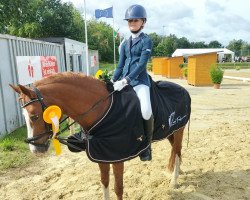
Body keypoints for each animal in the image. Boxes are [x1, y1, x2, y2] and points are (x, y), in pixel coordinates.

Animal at [11, 72, 188, 200]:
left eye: (34, 116)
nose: (35, 149)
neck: (102, 108)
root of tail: (183, 89)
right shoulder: (102, 154)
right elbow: (104, 183)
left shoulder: (117, 156)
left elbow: (118, 188)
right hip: (170, 132)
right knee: (176, 151)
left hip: (179, 129)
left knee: (177, 151)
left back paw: (174, 181)